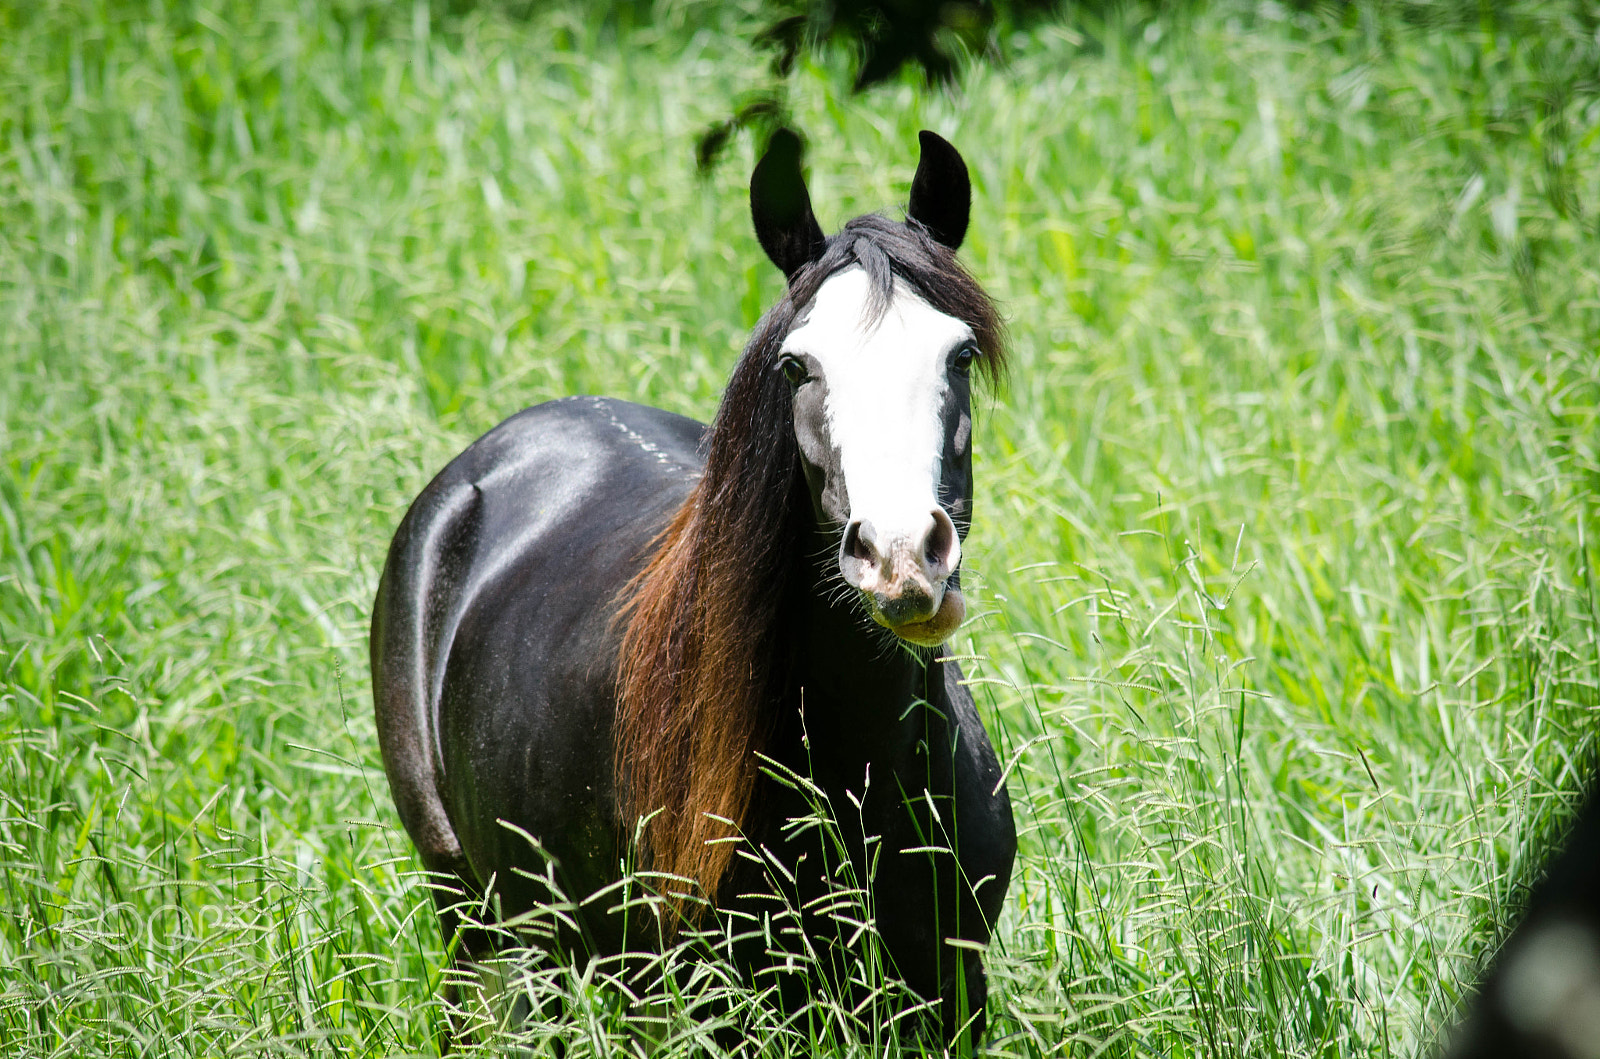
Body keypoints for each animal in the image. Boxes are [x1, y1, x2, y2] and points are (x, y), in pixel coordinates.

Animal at [369, 128, 1017, 1049]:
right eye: (797, 366)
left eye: (958, 354)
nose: (901, 559)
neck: (852, 776)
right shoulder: (721, 1006)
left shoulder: (948, 994)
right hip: (484, 927)